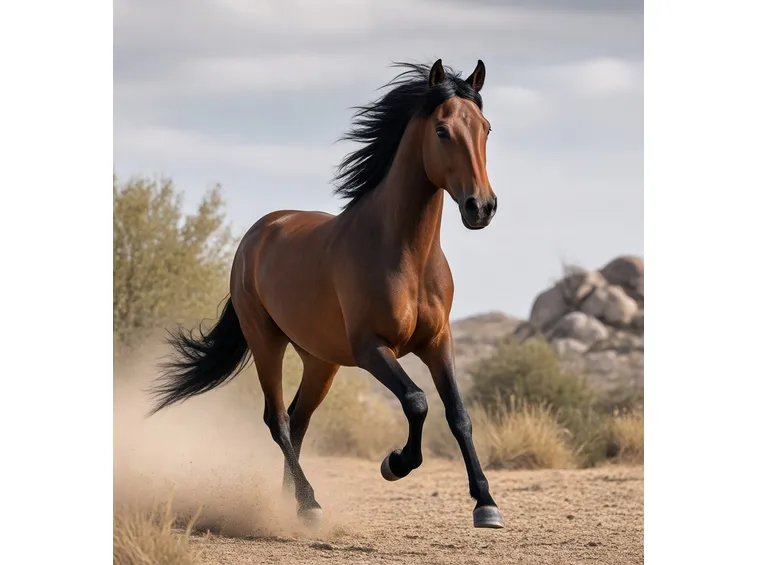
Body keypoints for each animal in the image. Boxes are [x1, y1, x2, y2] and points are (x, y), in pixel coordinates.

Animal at [149, 58, 504, 529]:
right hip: (266, 342)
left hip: (320, 361)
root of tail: (260, 231)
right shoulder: (372, 348)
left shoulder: (437, 342)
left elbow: (458, 415)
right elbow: (416, 401)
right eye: (442, 130)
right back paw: (310, 504)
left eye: (486, 128)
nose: (481, 207)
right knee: (278, 420)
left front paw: (486, 503)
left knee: (298, 420)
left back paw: (291, 504)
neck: (404, 254)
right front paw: (394, 463)